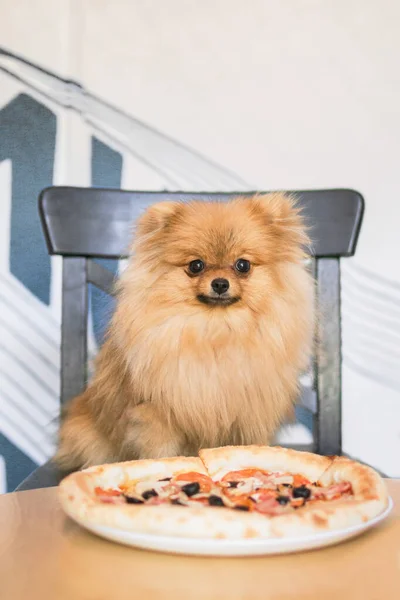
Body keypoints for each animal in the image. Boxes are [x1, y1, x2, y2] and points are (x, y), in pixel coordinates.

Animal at [54, 192, 314, 468]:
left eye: (242, 265)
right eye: (196, 265)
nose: (220, 283)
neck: (216, 330)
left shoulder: (250, 413)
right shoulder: (158, 415)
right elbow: (162, 452)